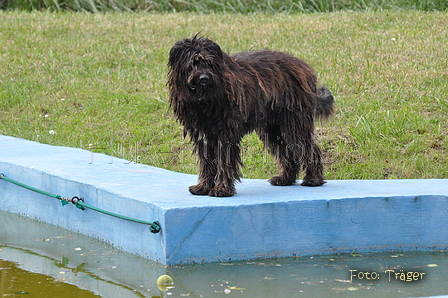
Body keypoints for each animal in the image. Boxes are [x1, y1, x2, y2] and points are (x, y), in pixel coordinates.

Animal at [167, 35, 332, 198]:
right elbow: (207, 162)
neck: (204, 101)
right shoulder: (203, 134)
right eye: (193, 63)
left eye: (209, 63)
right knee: (287, 151)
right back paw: (285, 178)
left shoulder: (225, 134)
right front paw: (203, 187)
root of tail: (304, 68)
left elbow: (224, 162)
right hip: (274, 128)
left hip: (295, 122)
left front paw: (222, 189)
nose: (204, 78)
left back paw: (313, 179)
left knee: (308, 148)